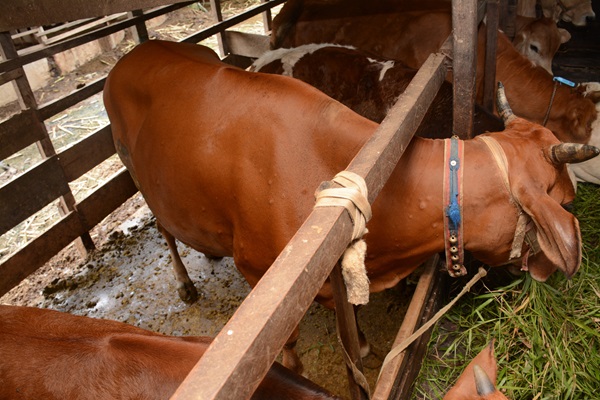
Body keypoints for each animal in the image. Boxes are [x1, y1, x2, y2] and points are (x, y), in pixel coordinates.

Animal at [103, 40, 596, 368]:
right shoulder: (260, 279)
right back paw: (185, 283)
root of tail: (136, 53)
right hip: (137, 172)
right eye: (567, 202)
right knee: (163, 228)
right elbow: (289, 351)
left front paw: (359, 343)